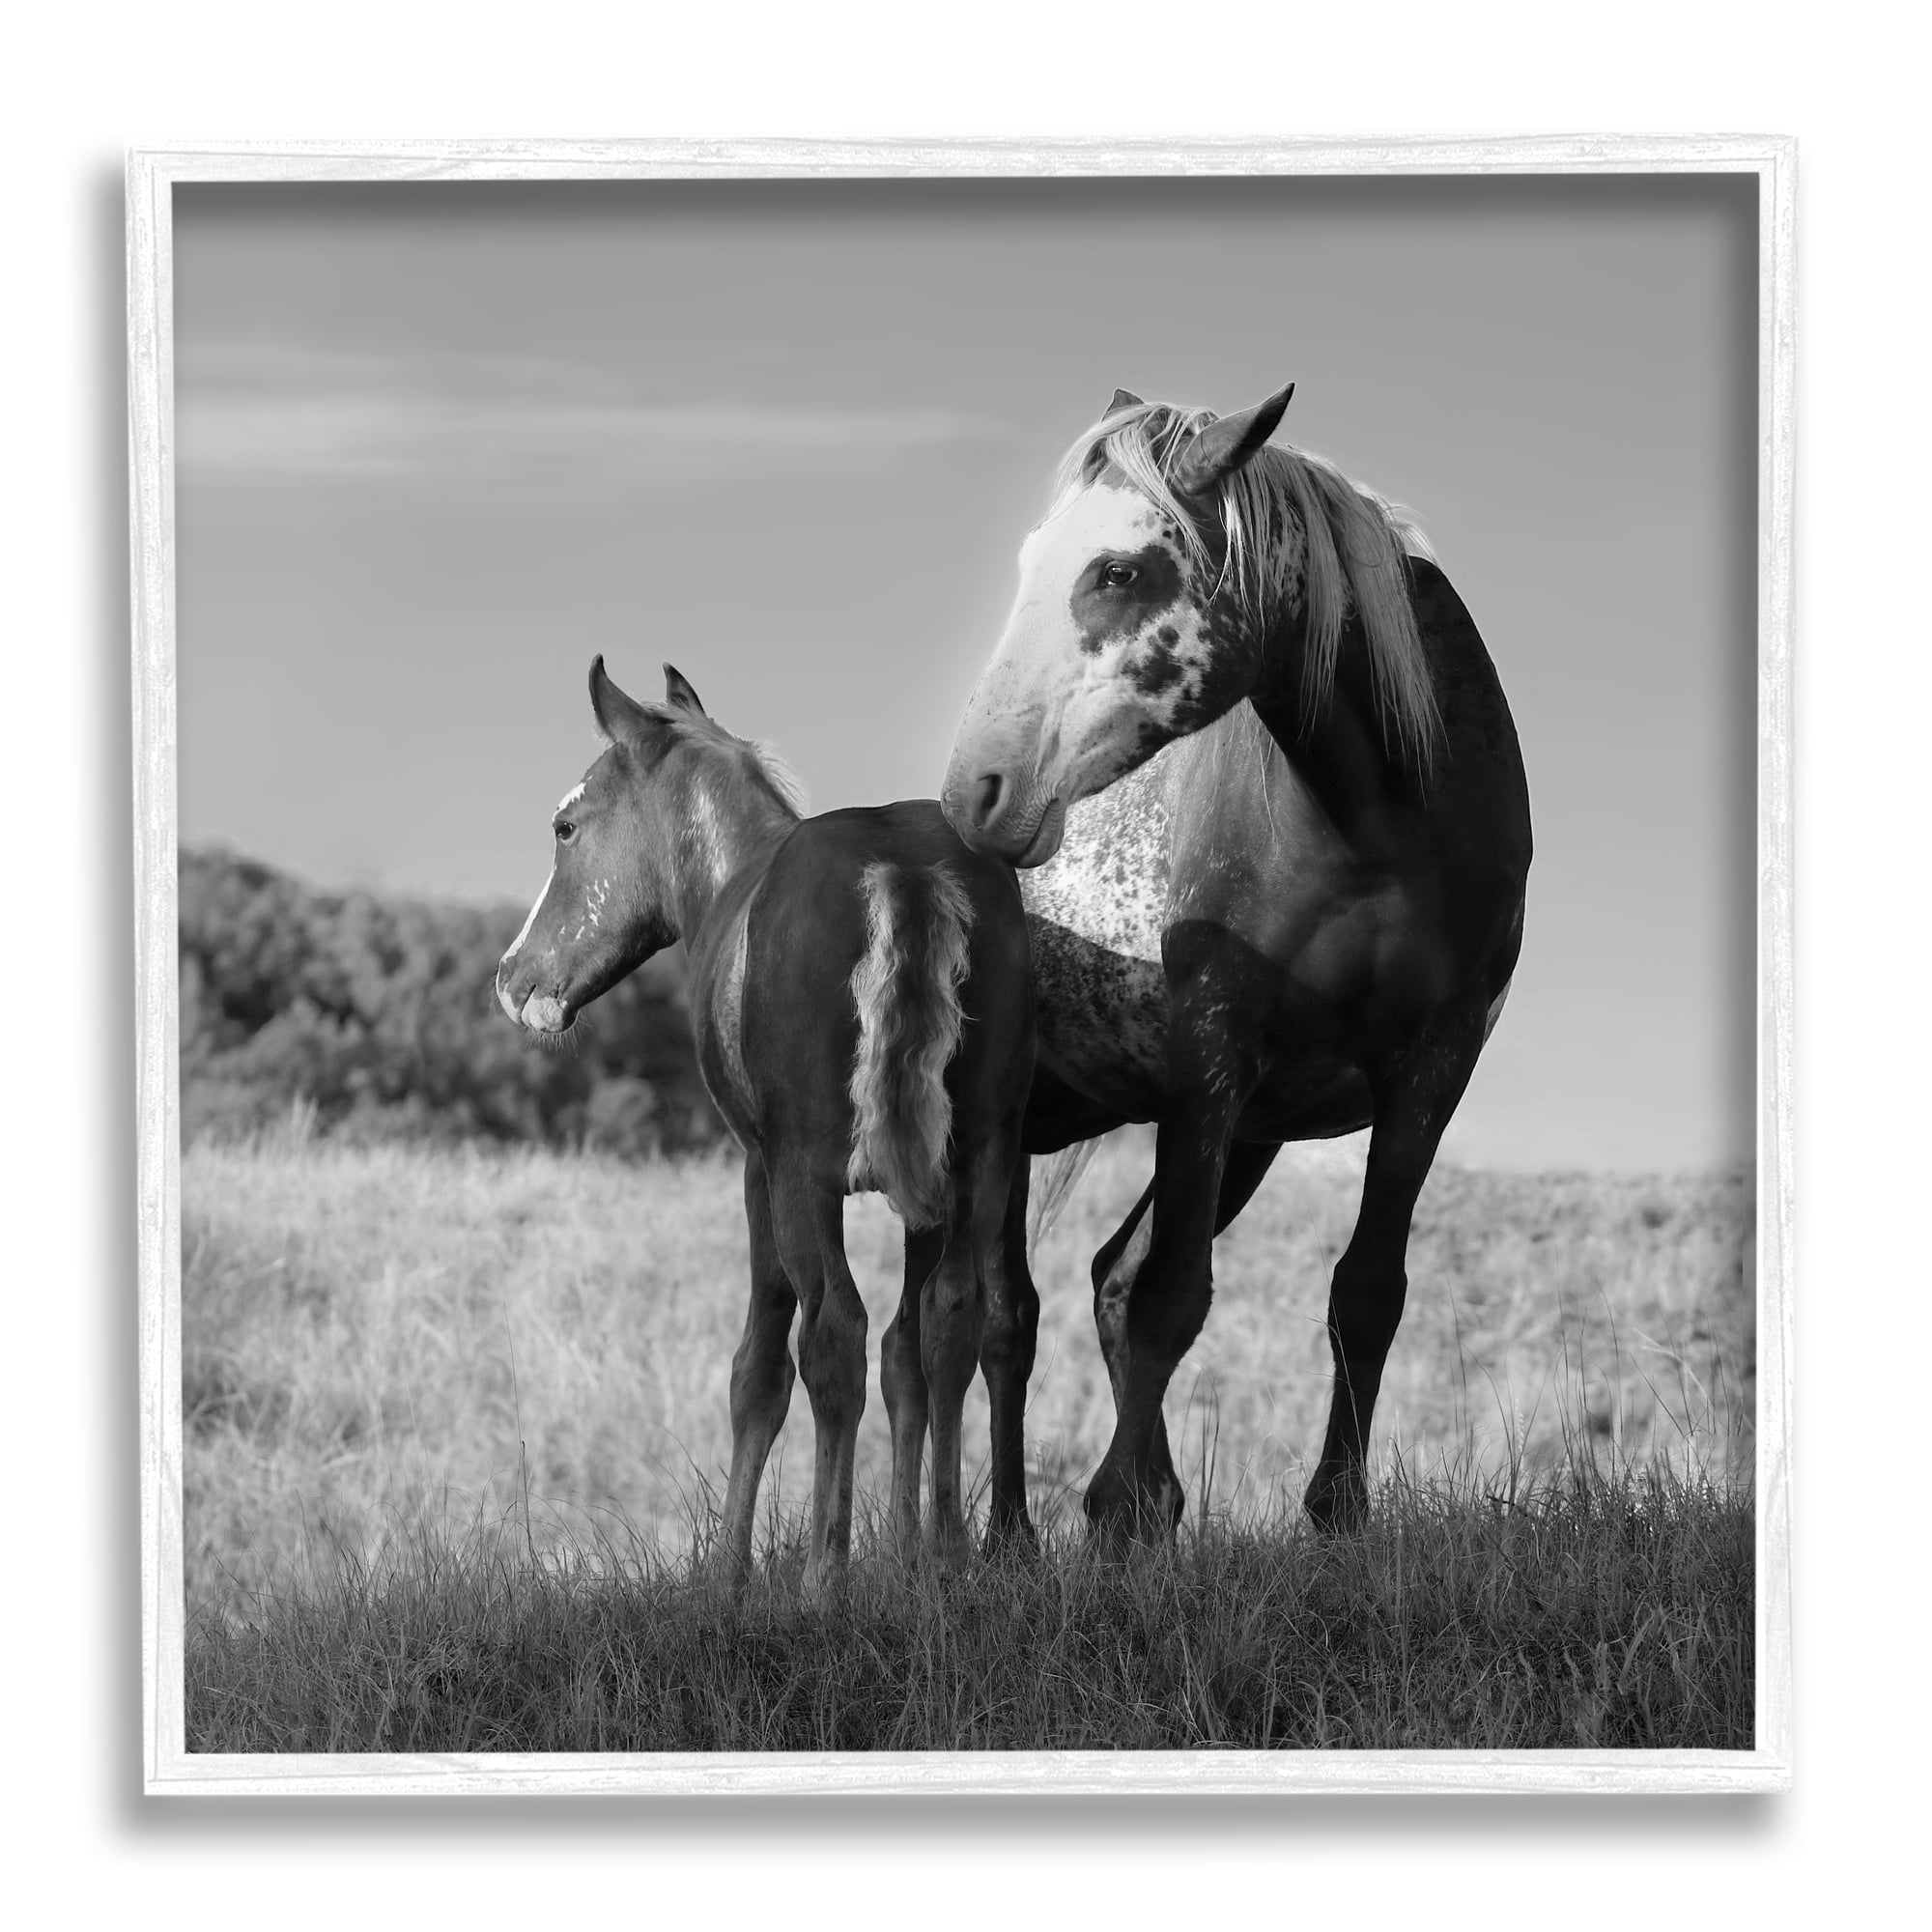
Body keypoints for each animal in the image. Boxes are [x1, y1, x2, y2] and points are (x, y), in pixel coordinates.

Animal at [496, 659, 1037, 1596]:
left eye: (566, 826)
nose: (512, 977)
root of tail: (904, 869)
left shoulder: (758, 1171)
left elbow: (761, 1366)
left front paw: (730, 1570)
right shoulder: (927, 1188)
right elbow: (910, 1352)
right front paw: (910, 1554)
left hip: (804, 1177)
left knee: (833, 1333)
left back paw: (825, 1569)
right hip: (981, 1160)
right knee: (951, 1319)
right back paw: (947, 1554)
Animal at [941, 386, 1532, 1543]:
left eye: (1117, 571)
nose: (976, 789)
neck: (1378, 827)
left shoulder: (1428, 1070)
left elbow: (1365, 1291)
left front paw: (1333, 1512)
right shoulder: (1211, 1052)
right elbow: (1173, 1294)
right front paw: (1115, 1509)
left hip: (1247, 1133)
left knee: (1099, 1281)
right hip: (1013, 1125)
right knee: (999, 1319)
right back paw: (1005, 1540)